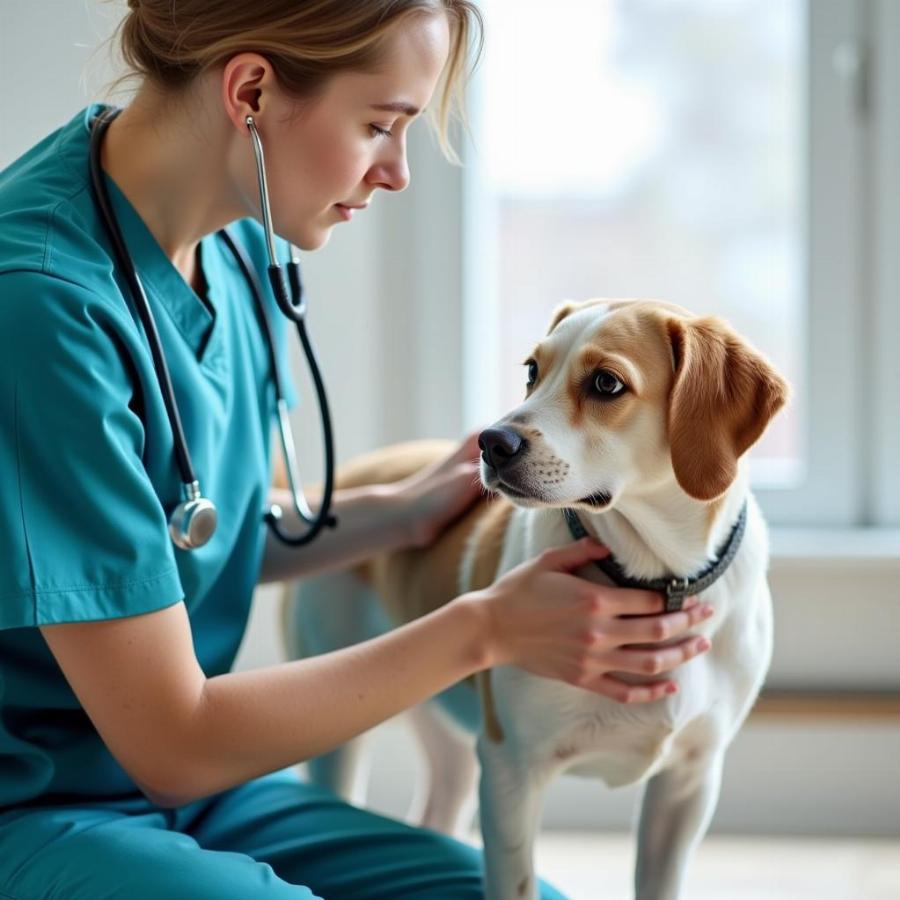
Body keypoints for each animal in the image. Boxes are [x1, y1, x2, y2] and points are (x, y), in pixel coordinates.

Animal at [282, 298, 788, 896]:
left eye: (606, 383)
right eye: (531, 370)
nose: (491, 442)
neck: (658, 576)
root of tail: (344, 480)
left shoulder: (689, 781)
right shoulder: (511, 771)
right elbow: (515, 882)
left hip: (452, 744)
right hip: (337, 731)